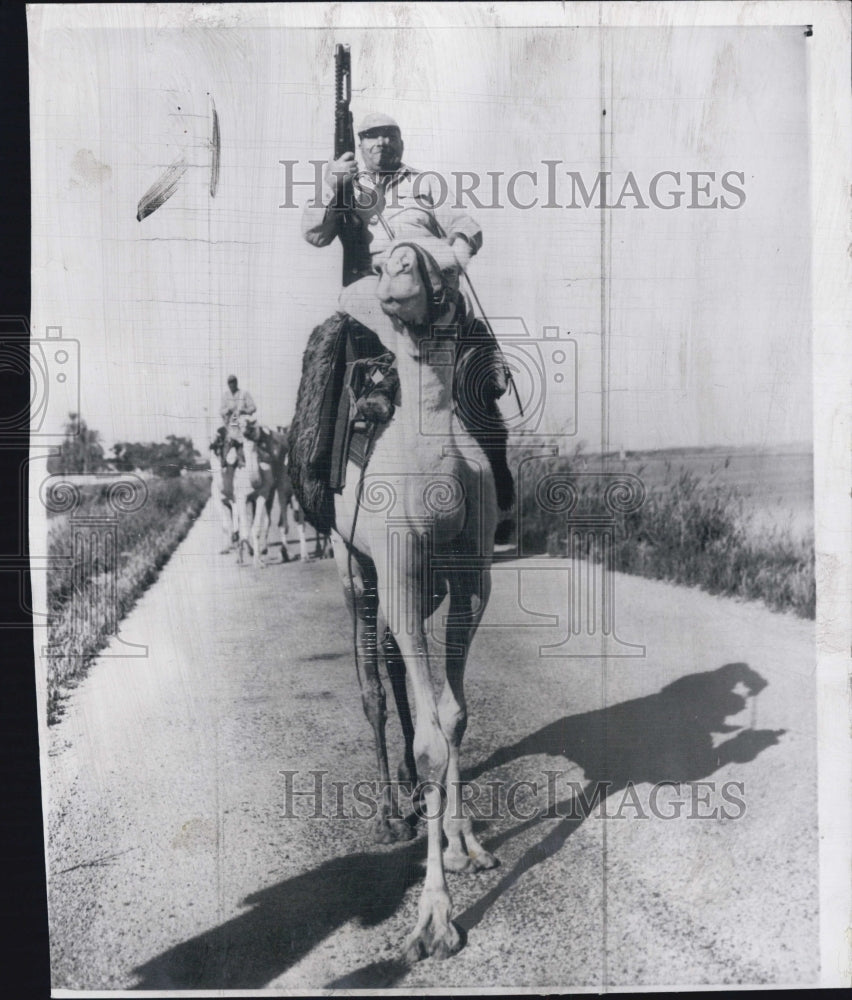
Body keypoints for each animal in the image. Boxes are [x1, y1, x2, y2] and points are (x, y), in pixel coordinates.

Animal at [290, 240, 500, 960]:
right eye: (381, 260)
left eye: (453, 260)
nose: (399, 270)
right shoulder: (402, 569)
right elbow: (434, 736)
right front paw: (435, 916)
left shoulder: (470, 580)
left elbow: (453, 716)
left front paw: (465, 844)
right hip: (353, 566)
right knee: (373, 682)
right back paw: (387, 811)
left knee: (394, 670)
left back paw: (410, 799)